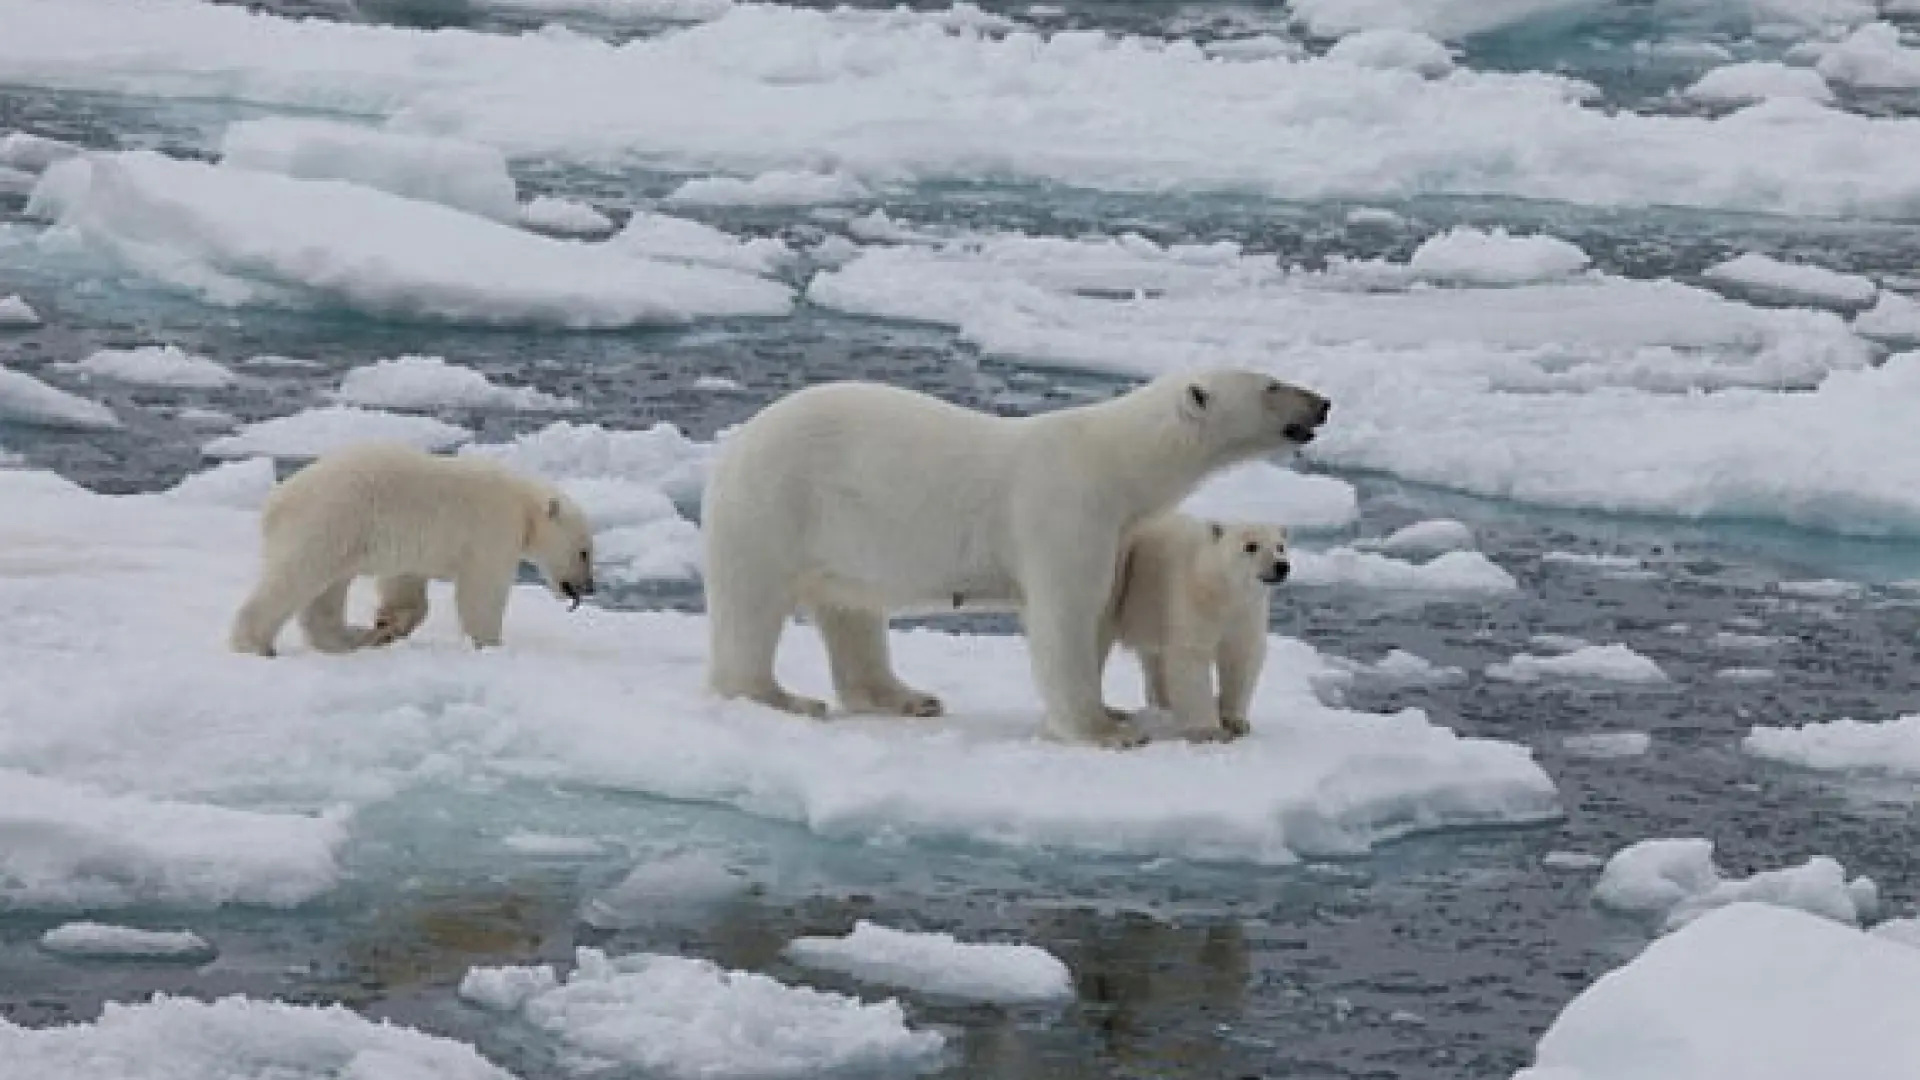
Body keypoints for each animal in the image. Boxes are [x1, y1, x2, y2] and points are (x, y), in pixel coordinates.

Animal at [223, 440, 587, 657]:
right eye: (585, 551)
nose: (589, 586)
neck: (522, 503)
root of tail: (277, 500)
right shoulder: (492, 530)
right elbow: (482, 592)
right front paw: (491, 645)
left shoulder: (416, 548)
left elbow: (405, 585)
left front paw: (387, 626)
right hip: (328, 521)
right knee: (295, 577)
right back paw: (256, 644)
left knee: (327, 593)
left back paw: (351, 637)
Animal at [1098, 511, 1290, 737]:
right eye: (1251, 546)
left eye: (1280, 546)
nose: (1281, 566)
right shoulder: (1190, 600)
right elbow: (1191, 655)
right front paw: (1209, 730)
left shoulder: (1246, 613)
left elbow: (1241, 655)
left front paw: (1236, 721)